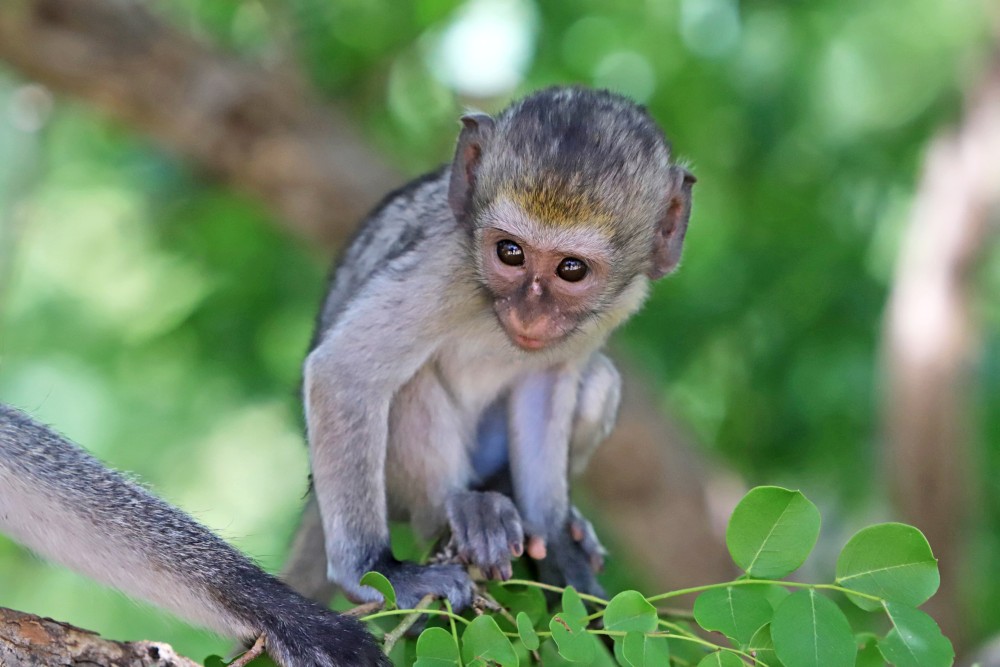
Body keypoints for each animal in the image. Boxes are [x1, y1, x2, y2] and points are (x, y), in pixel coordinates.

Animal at [285, 86, 695, 612]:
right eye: (510, 252)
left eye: (572, 269)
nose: (529, 314)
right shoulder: (446, 266)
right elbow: (344, 372)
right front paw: (373, 569)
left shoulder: (619, 302)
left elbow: (547, 384)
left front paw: (552, 536)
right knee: (409, 382)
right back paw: (463, 506)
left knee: (599, 380)